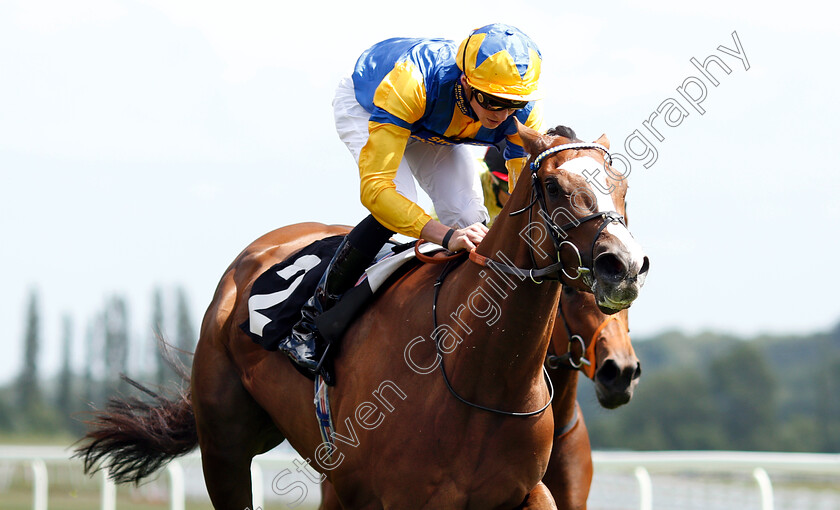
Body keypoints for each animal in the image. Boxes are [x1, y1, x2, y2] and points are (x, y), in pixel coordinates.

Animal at [75, 124, 648, 510]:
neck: (478, 378)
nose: (624, 265)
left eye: (621, 183)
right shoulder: (379, 496)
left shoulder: (526, 493)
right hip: (226, 447)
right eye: (553, 186)